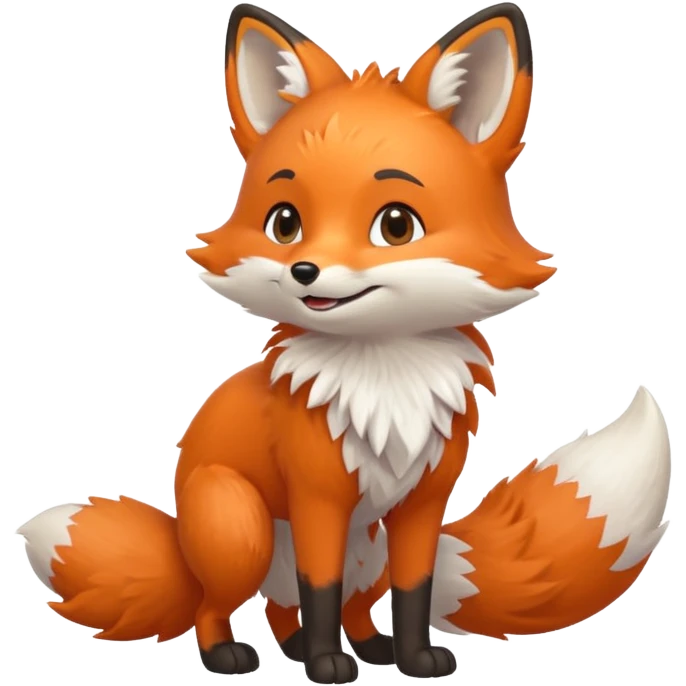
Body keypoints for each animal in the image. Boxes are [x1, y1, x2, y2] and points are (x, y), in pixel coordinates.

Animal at [15, 2, 673, 683]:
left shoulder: (422, 504)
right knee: (218, 604)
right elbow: (320, 586)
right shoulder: (318, 500)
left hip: (367, 548)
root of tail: (180, 539)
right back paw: (237, 653)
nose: (304, 271)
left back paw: (352, 648)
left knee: (308, 608)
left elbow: (412, 591)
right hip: (240, 526)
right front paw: (328, 662)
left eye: (396, 225)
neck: (385, 380)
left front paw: (412, 658)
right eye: (284, 222)